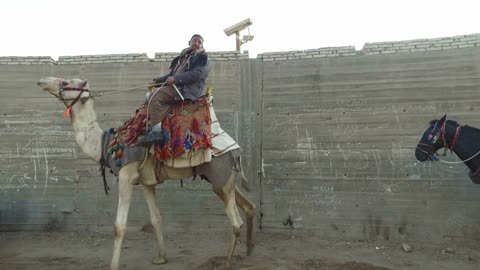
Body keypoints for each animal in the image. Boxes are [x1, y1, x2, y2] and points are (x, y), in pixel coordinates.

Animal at [36, 77, 256, 268]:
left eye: (65, 82)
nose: (41, 81)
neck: (106, 144)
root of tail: (236, 150)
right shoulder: (146, 182)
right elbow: (156, 218)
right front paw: (161, 258)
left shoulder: (126, 176)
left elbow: (119, 226)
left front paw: (113, 265)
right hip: (225, 179)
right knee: (249, 206)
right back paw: (248, 252)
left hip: (220, 176)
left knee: (236, 222)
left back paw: (227, 263)